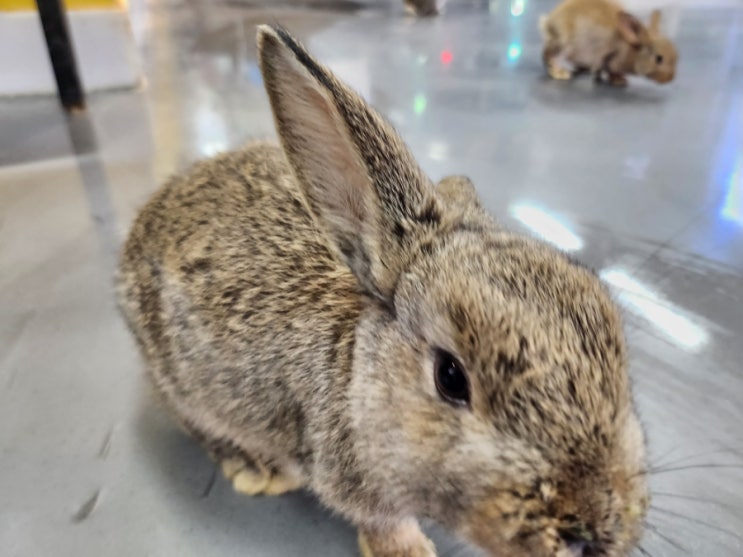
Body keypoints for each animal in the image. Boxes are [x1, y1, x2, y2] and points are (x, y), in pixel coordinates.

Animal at [117, 24, 650, 557]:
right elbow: (384, 521)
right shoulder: (355, 480)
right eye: (450, 377)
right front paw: (410, 551)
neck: (358, 376)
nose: (590, 533)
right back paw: (258, 469)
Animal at [540, 0, 677, 87]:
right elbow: (610, 70)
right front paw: (619, 81)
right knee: (549, 56)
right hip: (564, 45)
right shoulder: (610, 57)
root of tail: (548, 23)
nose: (670, 79)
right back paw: (560, 73)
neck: (630, 49)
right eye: (659, 58)